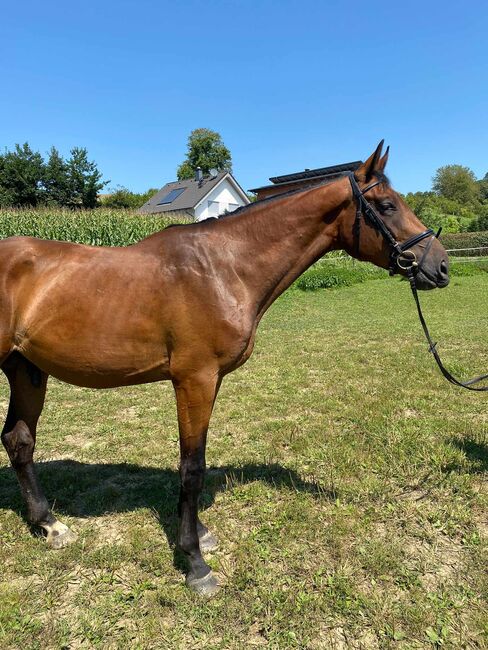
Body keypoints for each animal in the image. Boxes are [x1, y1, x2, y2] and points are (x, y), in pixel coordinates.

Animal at [0, 142, 450, 592]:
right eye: (387, 206)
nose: (440, 266)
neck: (222, 268)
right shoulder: (194, 379)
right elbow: (192, 466)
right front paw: (194, 562)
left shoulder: (209, 381)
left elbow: (195, 458)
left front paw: (199, 534)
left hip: (26, 369)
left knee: (19, 441)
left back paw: (50, 525)